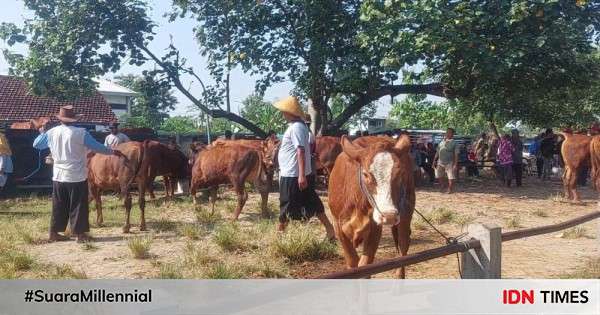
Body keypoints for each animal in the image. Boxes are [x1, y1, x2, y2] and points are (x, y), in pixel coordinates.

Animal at [326, 136, 414, 278]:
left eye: (400, 173)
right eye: (366, 174)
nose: (389, 216)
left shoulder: (375, 228)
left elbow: (365, 266)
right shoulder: (338, 225)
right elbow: (353, 263)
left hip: (406, 211)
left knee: (403, 245)